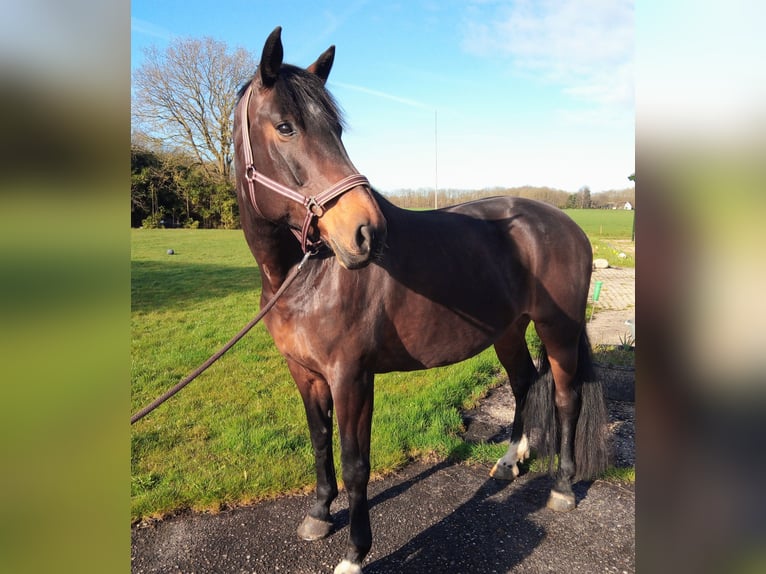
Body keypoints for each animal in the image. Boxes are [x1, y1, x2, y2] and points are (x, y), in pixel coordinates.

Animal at [234, 26, 608, 574]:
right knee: (523, 383)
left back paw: (561, 486)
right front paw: (319, 515)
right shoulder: (303, 372)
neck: (306, 278)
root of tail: (567, 225)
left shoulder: (352, 376)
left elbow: (355, 462)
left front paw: (355, 553)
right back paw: (509, 462)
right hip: (508, 331)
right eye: (285, 127)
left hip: (556, 331)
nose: (367, 232)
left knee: (564, 397)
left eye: (337, 130)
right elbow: (320, 442)